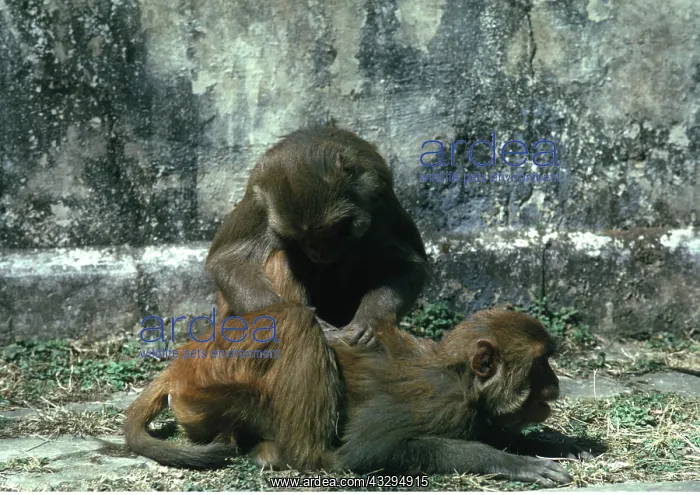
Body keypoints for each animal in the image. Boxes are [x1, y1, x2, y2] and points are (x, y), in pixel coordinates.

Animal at [206, 125, 429, 346]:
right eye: (298, 239)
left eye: (331, 231)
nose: (318, 253)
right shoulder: (258, 200)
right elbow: (228, 259)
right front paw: (313, 323)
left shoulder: (378, 196)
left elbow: (405, 264)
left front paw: (370, 321)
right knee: (280, 256)